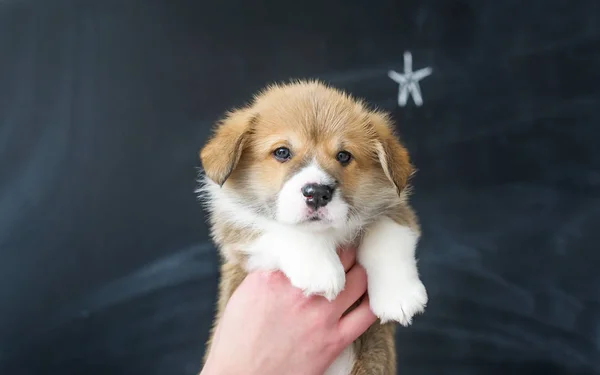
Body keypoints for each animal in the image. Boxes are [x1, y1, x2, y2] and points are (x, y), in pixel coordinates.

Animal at [197, 81, 426, 374]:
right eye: (282, 152)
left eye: (343, 156)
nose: (317, 193)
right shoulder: (236, 229)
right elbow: (282, 229)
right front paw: (322, 271)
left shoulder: (396, 210)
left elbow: (386, 234)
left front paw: (398, 296)